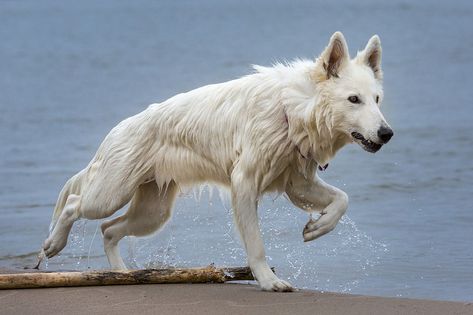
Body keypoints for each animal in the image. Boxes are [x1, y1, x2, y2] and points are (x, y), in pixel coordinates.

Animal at [43, 30, 390, 292]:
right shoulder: (245, 184)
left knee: (108, 230)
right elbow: (256, 244)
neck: (292, 109)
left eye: (377, 99)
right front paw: (269, 282)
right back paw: (54, 244)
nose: (387, 134)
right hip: (110, 194)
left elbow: (342, 199)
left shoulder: (297, 182)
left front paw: (317, 227)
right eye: (353, 99)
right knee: (75, 204)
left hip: (153, 213)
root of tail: (118, 129)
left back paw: (121, 274)